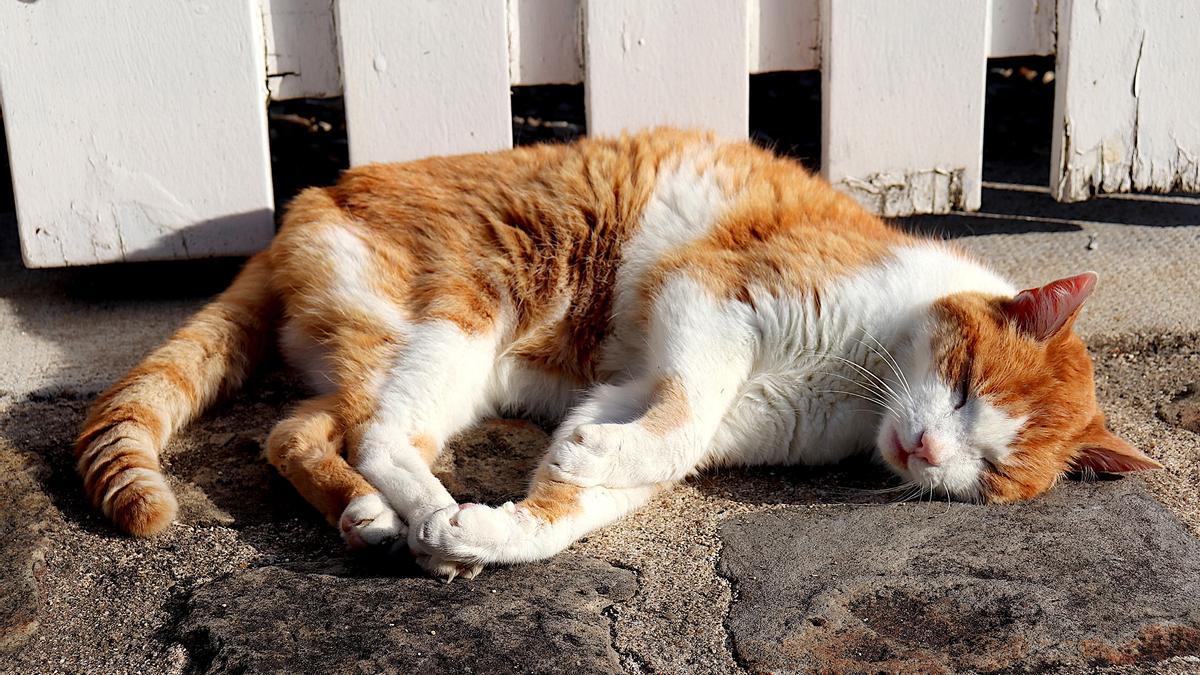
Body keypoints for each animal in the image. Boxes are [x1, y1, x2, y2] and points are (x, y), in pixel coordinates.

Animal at [75, 127, 1161, 578]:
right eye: (968, 388)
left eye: (995, 471)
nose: (932, 454)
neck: (860, 383)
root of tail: (305, 200)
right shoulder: (712, 300)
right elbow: (677, 419)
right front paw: (509, 506)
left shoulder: (638, 390)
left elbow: (589, 487)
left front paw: (507, 526)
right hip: (458, 319)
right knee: (377, 437)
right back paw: (413, 511)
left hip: (394, 362)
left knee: (299, 435)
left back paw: (385, 521)